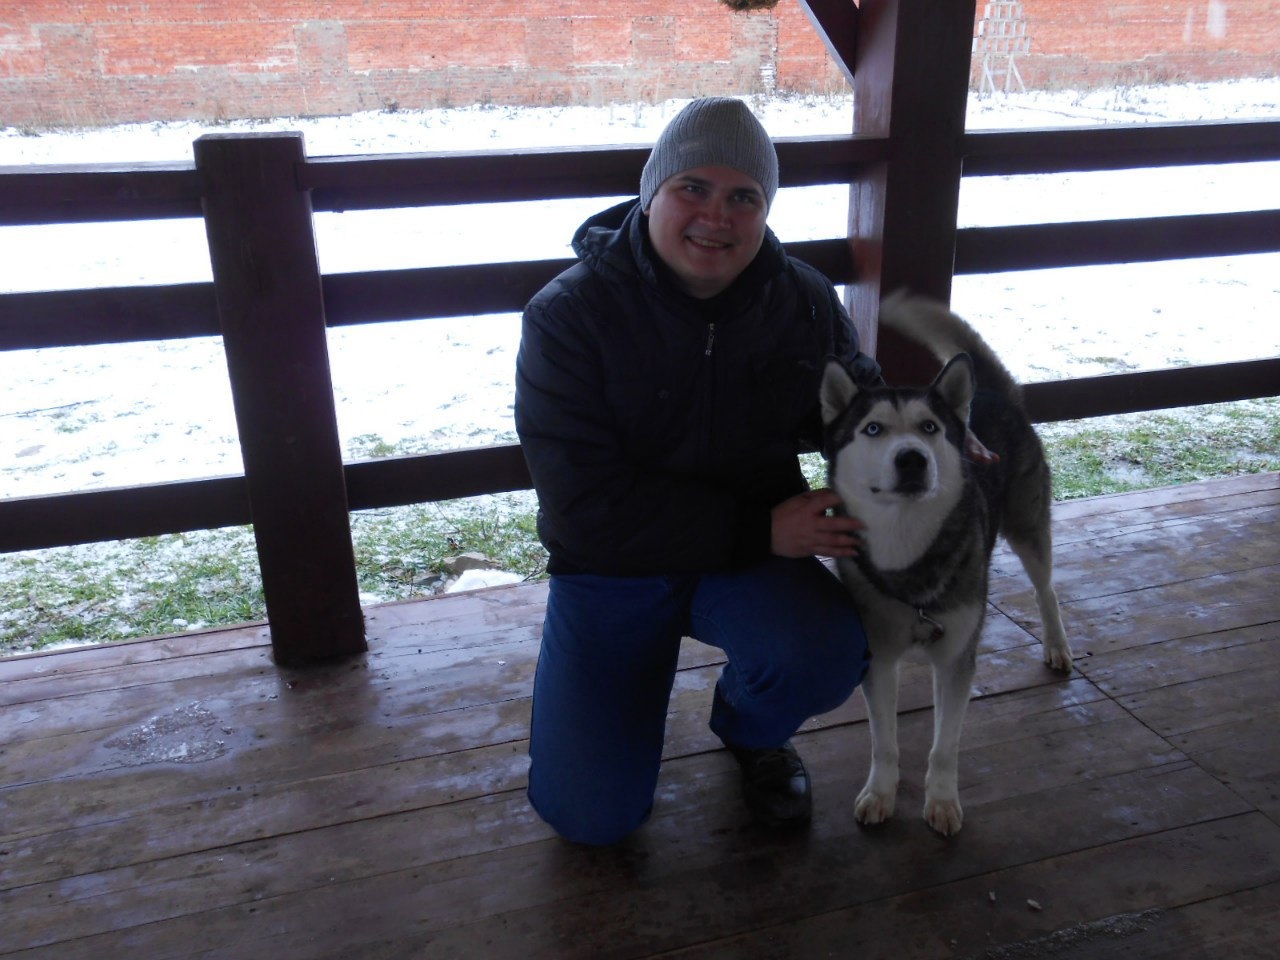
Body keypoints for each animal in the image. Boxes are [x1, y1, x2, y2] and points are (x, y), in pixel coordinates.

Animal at [819, 291, 1070, 834]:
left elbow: (944, 746)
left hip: (1028, 529)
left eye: (929, 428)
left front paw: (941, 800)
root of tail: (993, 394)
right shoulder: (877, 659)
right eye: (873, 429)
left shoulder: (957, 660)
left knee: (1047, 589)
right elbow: (884, 742)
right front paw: (880, 793)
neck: (909, 550)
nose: (912, 458)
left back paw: (1058, 644)